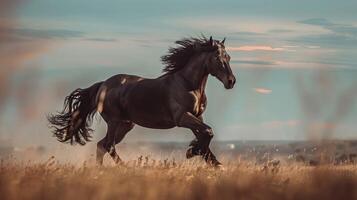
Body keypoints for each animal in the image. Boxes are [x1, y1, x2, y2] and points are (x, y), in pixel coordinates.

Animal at [48, 36, 235, 167]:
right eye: (217, 58)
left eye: (229, 57)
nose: (231, 81)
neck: (188, 84)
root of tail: (103, 85)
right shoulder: (182, 117)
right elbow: (208, 132)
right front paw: (193, 152)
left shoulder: (197, 117)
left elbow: (205, 135)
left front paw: (213, 162)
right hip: (114, 122)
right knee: (108, 145)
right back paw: (124, 168)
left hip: (125, 125)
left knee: (102, 145)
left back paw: (99, 170)